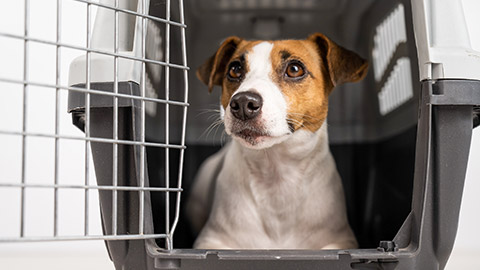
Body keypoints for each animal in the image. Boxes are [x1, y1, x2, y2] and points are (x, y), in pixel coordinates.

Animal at [187, 33, 368, 249]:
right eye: (234, 69)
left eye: (295, 69)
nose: (243, 103)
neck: (277, 174)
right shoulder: (211, 240)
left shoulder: (340, 240)